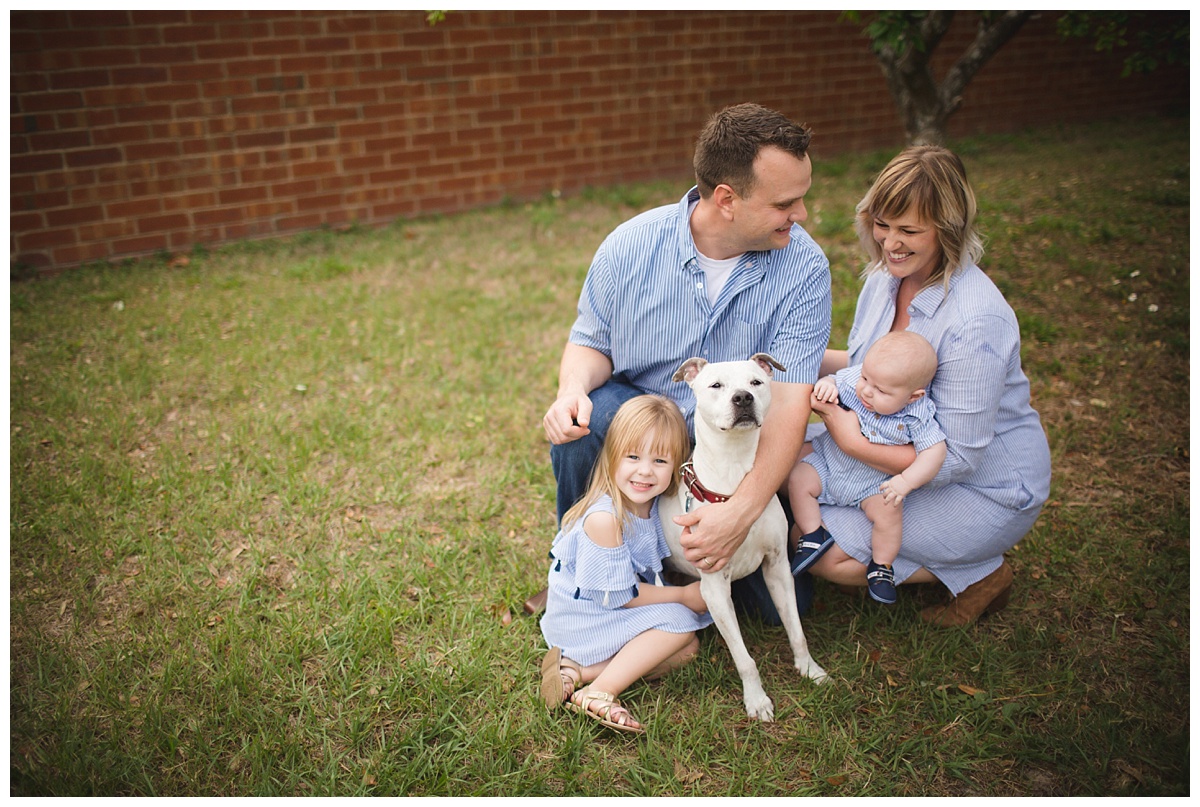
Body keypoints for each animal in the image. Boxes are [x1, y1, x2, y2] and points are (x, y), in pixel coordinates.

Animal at [657, 355, 825, 720]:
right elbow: (744, 659)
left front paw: (809, 669)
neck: (733, 478)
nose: (743, 398)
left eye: (756, 382)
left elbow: (797, 631)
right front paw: (757, 700)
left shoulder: (778, 568)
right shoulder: (715, 590)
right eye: (716, 385)